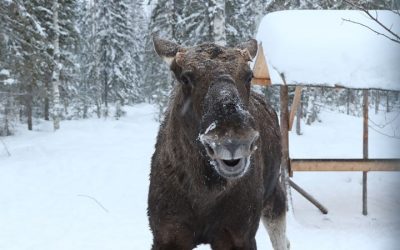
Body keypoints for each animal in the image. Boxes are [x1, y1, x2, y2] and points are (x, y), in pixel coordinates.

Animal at [148, 35, 290, 250]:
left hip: (273, 192)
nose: (232, 140)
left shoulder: (238, 234)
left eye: (249, 76)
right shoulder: (167, 234)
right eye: (186, 77)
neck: (205, 191)